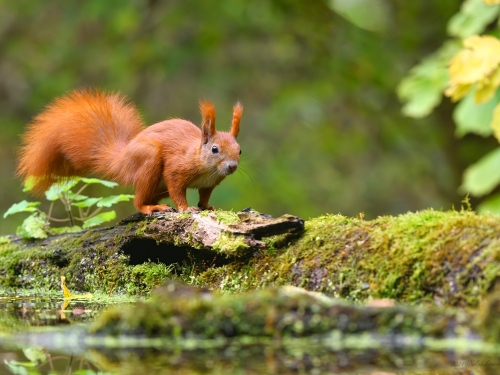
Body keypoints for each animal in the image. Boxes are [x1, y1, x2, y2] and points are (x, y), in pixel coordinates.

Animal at [19, 88, 244, 216]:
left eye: (239, 150)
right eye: (214, 149)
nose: (232, 166)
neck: (207, 167)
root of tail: (120, 161)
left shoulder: (209, 183)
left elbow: (204, 196)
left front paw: (206, 206)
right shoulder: (177, 167)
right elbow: (177, 188)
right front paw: (186, 208)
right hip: (148, 160)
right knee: (138, 201)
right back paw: (150, 208)